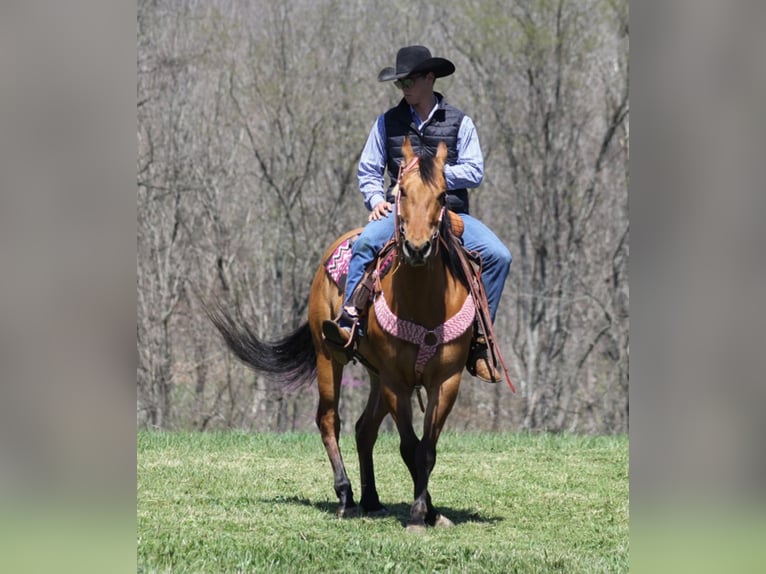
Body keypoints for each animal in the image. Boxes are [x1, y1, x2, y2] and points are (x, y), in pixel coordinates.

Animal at [208, 137, 504, 532]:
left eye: (443, 195)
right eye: (402, 191)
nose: (417, 248)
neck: (424, 303)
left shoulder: (445, 381)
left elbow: (427, 449)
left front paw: (429, 511)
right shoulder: (397, 382)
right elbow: (409, 447)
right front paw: (417, 515)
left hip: (375, 372)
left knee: (364, 429)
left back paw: (372, 500)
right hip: (330, 357)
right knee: (329, 420)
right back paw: (346, 496)